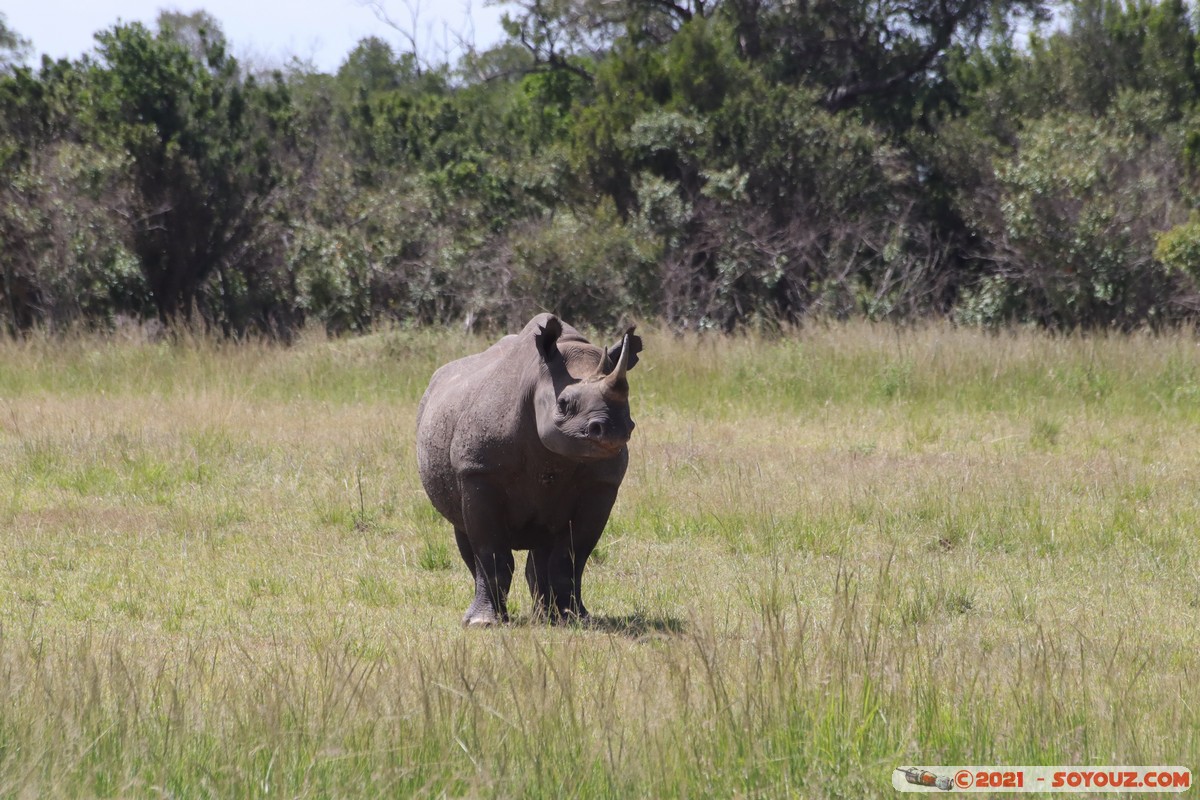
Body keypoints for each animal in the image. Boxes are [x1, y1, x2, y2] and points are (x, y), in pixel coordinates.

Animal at [416, 313, 642, 627]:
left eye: (628, 404)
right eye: (563, 404)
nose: (611, 430)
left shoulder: (602, 484)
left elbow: (573, 556)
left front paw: (577, 619)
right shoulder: (478, 472)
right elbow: (491, 553)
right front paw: (483, 623)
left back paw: (547, 617)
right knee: (464, 535)